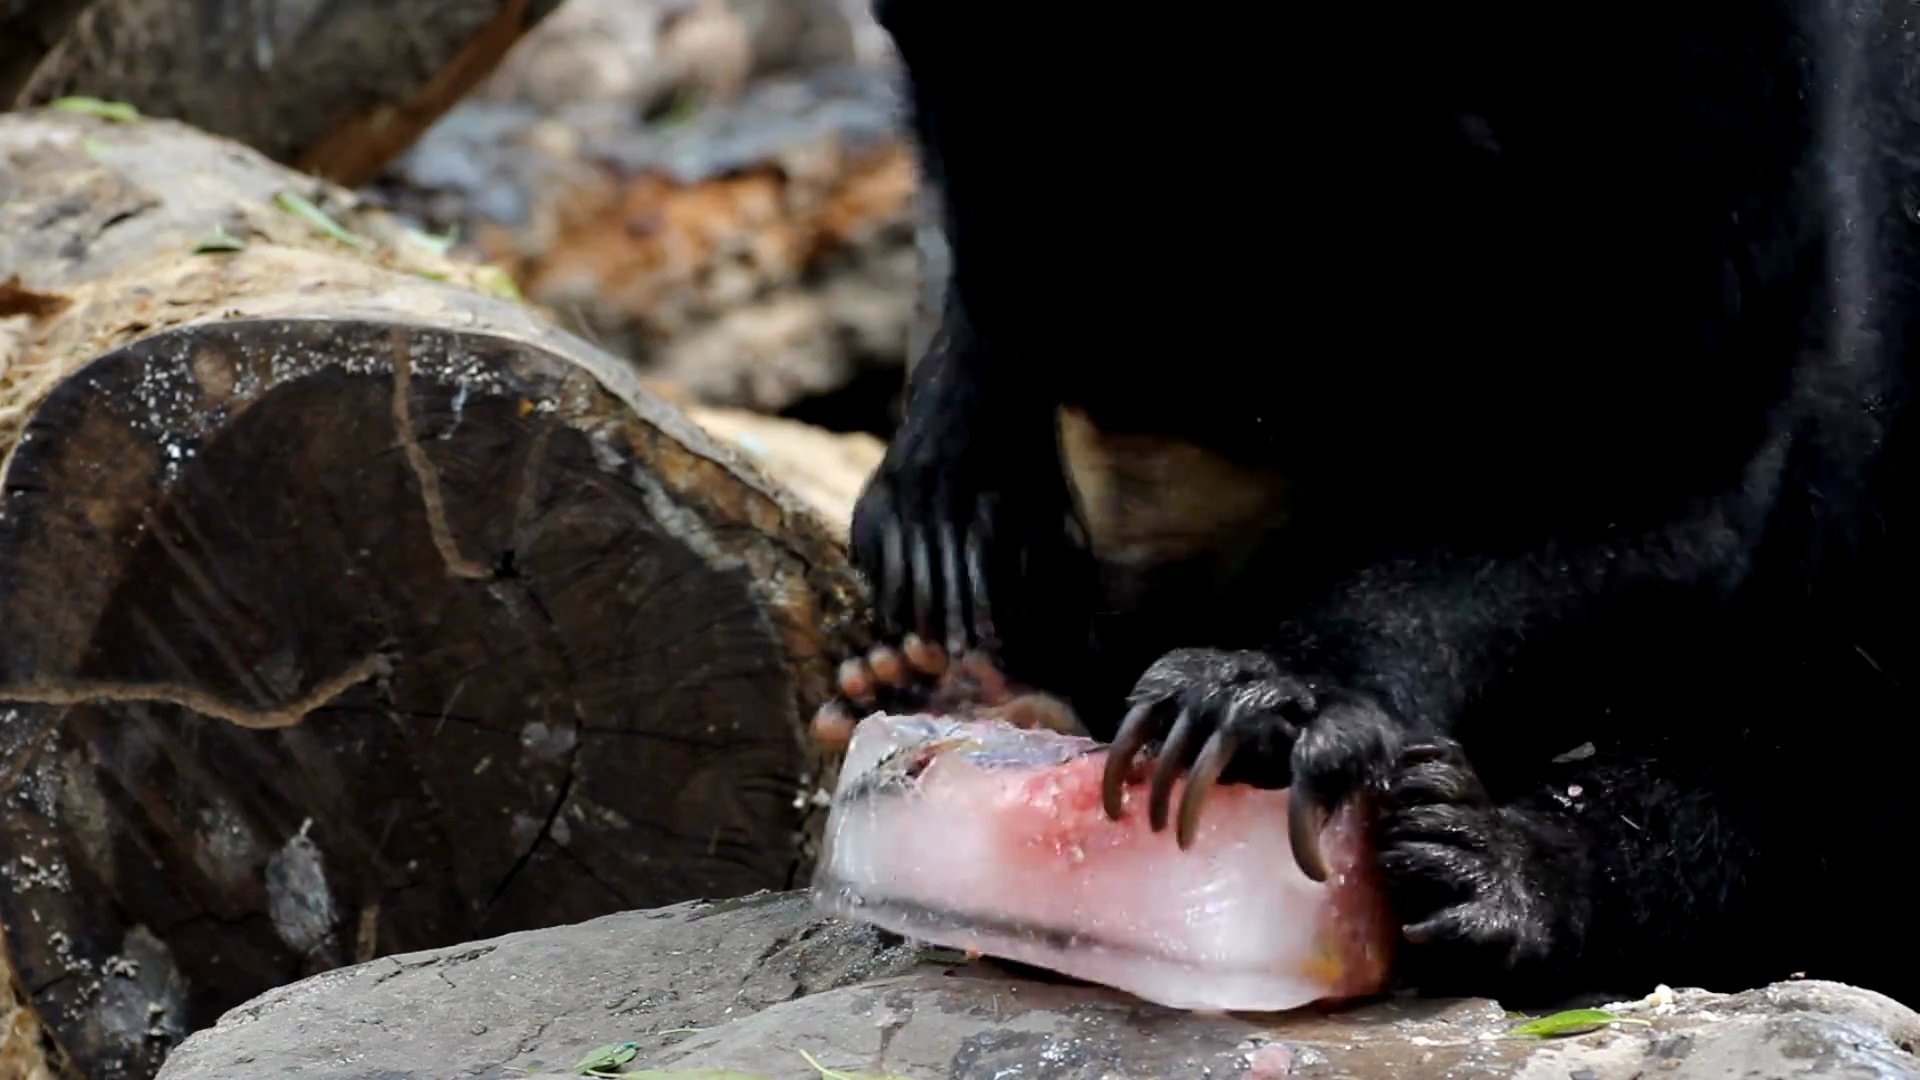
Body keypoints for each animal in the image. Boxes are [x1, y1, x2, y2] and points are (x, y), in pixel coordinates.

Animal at [821, 0, 1920, 1006]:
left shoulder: (1735, 146)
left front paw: (1250, 700)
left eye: (1262, 409)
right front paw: (937, 512)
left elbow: (1671, 485)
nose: (1125, 630)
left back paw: (1480, 867)